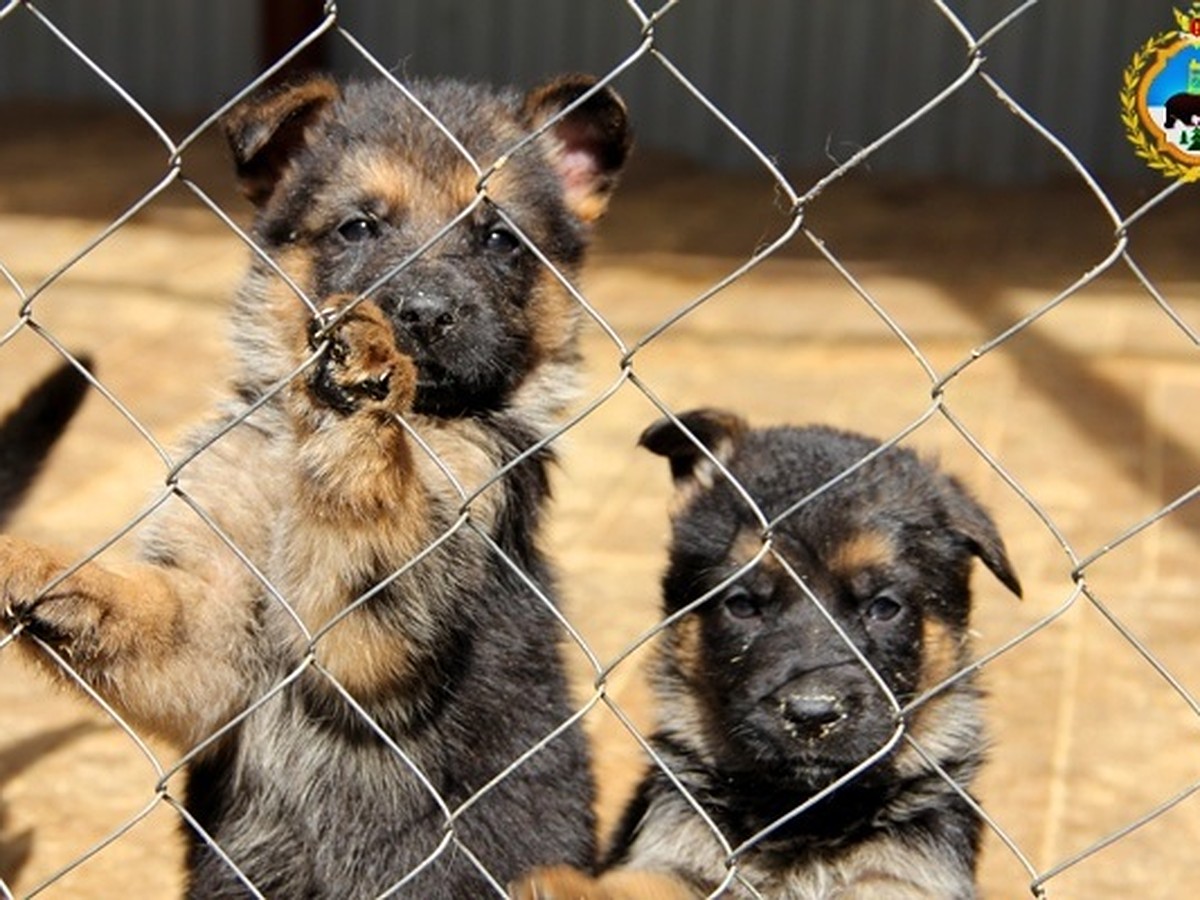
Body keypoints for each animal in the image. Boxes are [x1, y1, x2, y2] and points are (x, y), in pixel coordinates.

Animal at [0, 72, 633, 900]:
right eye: (358, 228)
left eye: (500, 240)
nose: (420, 315)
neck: (299, 446)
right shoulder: (213, 632)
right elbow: (132, 603)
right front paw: (26, 562)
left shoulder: (370, 631)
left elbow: (368, 505)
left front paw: (365, 374)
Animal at [516, 410, 1022, 900]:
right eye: (741, 605)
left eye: (883, 608)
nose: (812, 715)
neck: (801, 815)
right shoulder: (678, 851)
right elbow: (644, 884)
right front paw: (567, 887)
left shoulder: (907, 875)